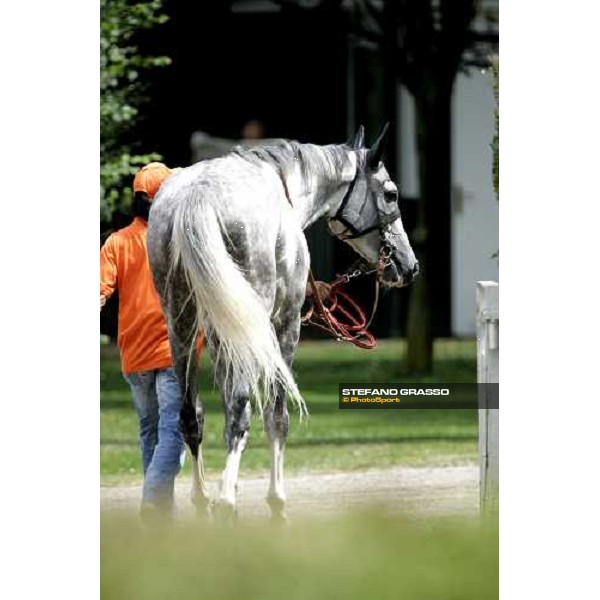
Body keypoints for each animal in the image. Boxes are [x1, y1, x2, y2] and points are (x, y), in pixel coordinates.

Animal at [146, 126, 418, 520]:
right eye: (390, 193)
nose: (408, 265)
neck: (284, 186)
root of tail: (199, 195)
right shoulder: (284, 326)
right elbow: (277, 418)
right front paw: (275, 503)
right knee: (239, 412)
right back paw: (225, 502)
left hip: (181, 326)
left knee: (191, 416)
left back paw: (203, 500)